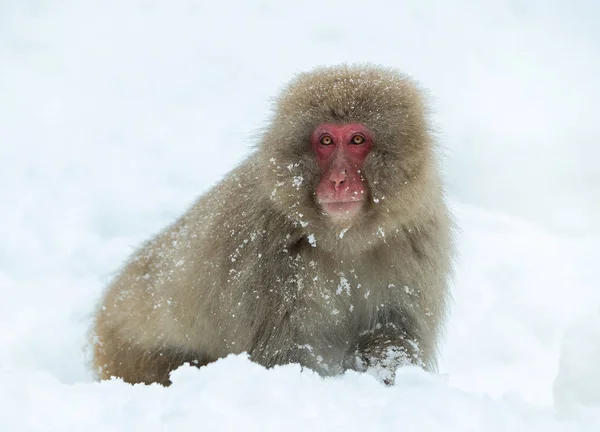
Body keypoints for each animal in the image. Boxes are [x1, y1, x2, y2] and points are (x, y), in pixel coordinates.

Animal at [90, 63, 454, 384]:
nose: (338, 180)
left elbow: (393, 333)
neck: (342, 237)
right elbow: (282, 354)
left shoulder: (416, 238)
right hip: (133, 353)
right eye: (325, 141)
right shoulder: (264, 252)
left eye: (356, 140)